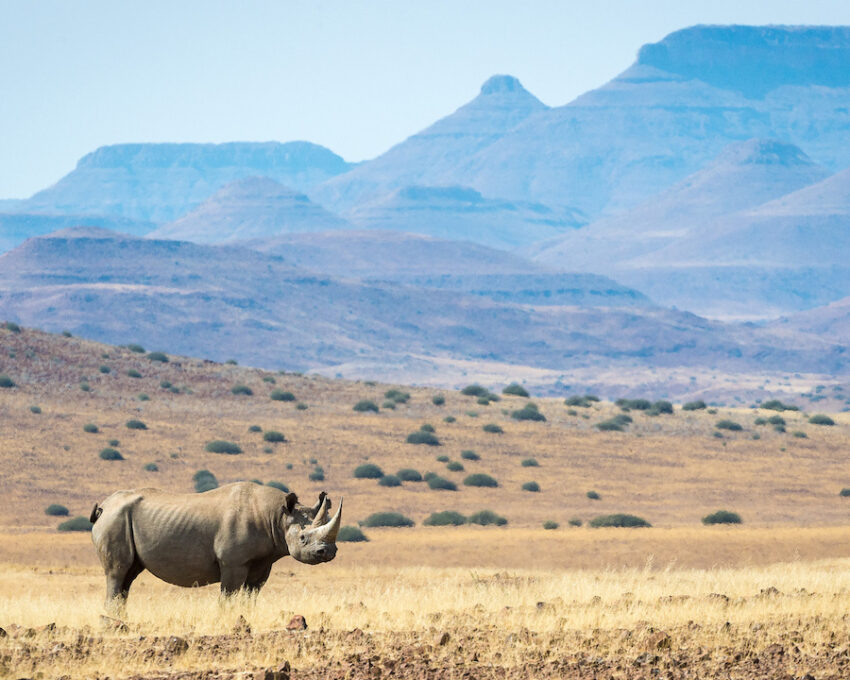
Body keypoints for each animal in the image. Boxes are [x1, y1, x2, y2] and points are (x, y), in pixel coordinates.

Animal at [89, 481, 341, 608]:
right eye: (303, 538)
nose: (328, 552)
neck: (277, 516)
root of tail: (104, 507)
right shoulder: (232, 562)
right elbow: (228, 597)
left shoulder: (263, 561)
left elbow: (250, 598)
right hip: (115, 519)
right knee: (118, 572)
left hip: (121, 520)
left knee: (128, 576)